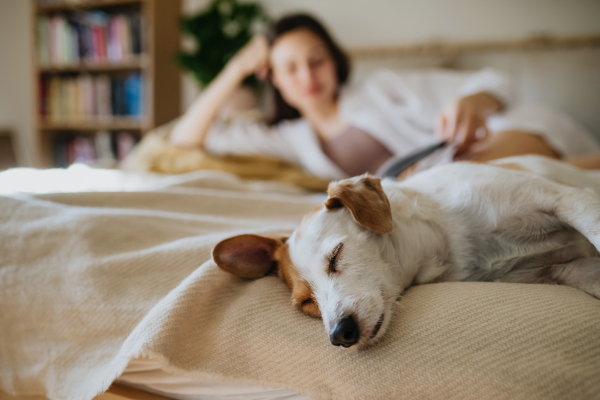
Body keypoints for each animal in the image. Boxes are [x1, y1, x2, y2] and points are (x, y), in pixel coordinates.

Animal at [212, 156, 600, 350]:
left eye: (336, 256)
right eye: (307, 303)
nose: (339, 335)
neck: (446, 237)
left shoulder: (565, 199)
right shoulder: (562, 271)